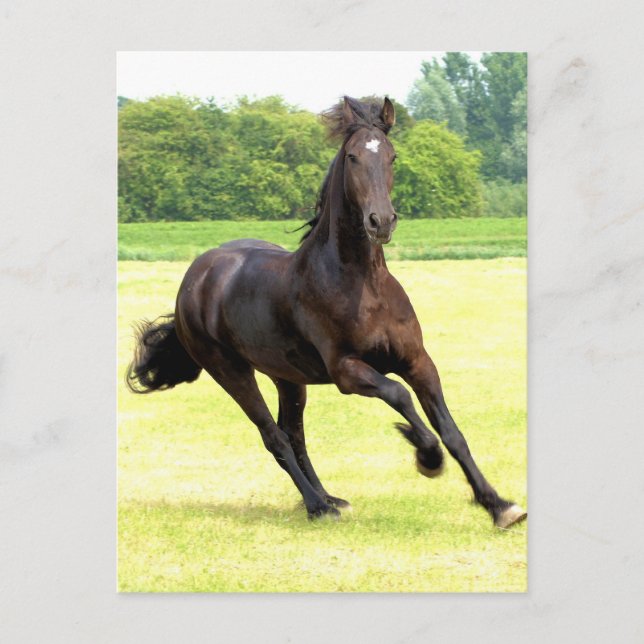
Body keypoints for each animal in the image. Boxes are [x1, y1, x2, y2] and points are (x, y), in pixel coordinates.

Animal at [127, 96, 526, 528]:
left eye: (392, 156)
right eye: (352, 157)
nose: (381, 221)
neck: (362, 285)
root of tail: (194, 277)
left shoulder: (418, 361)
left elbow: (452, 431)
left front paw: (500, 506)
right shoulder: (346, 371)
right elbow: (399, 395)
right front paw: (427, 457)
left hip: (287, 377)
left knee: (293, 433)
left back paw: (329, 498)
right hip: (230, 371)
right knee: (274, 436)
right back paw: (318, 507)